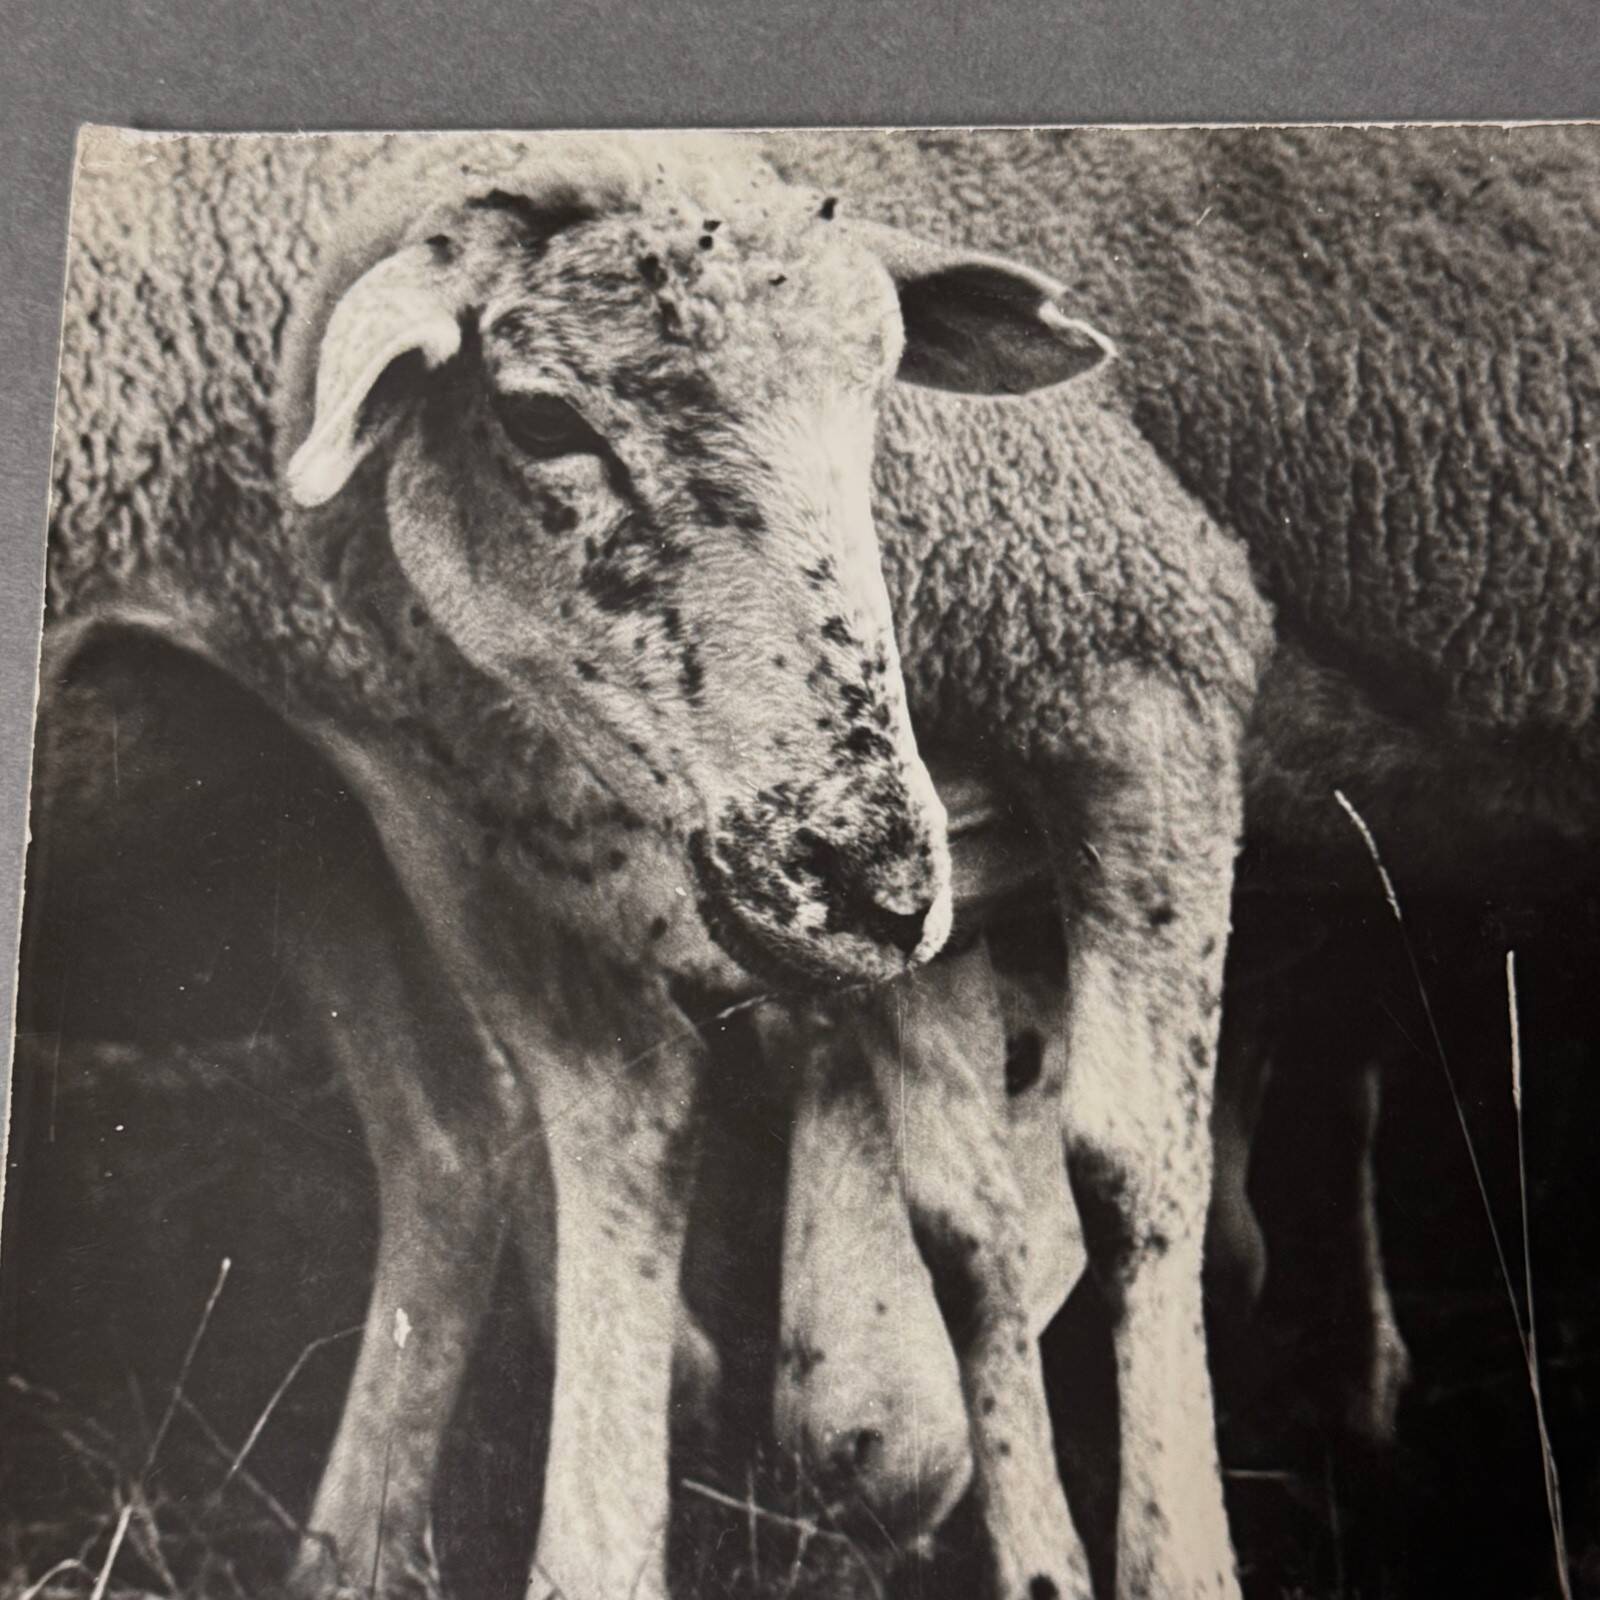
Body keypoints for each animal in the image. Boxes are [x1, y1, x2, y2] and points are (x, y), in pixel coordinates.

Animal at [34, 126, 1162, 1600]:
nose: (878, 880)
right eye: (541, 422)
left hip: (424, 761)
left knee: (590, 1104)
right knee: (467, 1133)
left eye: (873, 406)